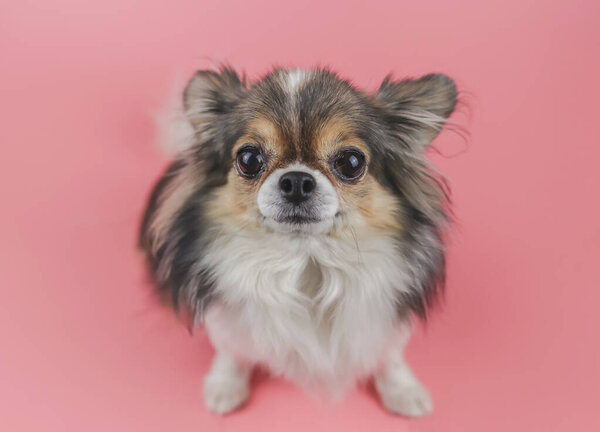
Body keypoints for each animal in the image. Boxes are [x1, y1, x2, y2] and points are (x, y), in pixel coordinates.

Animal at [138, 66, 458, 416]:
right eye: (249, 159)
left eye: (351, 163)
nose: (296, 181)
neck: (307, 261)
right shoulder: (228, 318)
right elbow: (231, 351)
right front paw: (225, 386)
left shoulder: (381, 318)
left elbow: (389, 354)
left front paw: (403, 390)